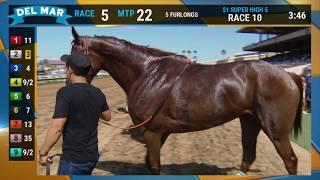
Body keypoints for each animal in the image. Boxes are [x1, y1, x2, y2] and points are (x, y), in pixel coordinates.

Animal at [69, 27, 302, 175]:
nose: (70, 83)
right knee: (248, 155)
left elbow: (154, 166)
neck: (147, 74)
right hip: (249, 120)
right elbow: (148, 163)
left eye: (74, 54)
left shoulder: (152, 132)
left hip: (276, 130)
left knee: (290, 160)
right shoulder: (159, 132)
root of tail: (289, 74)